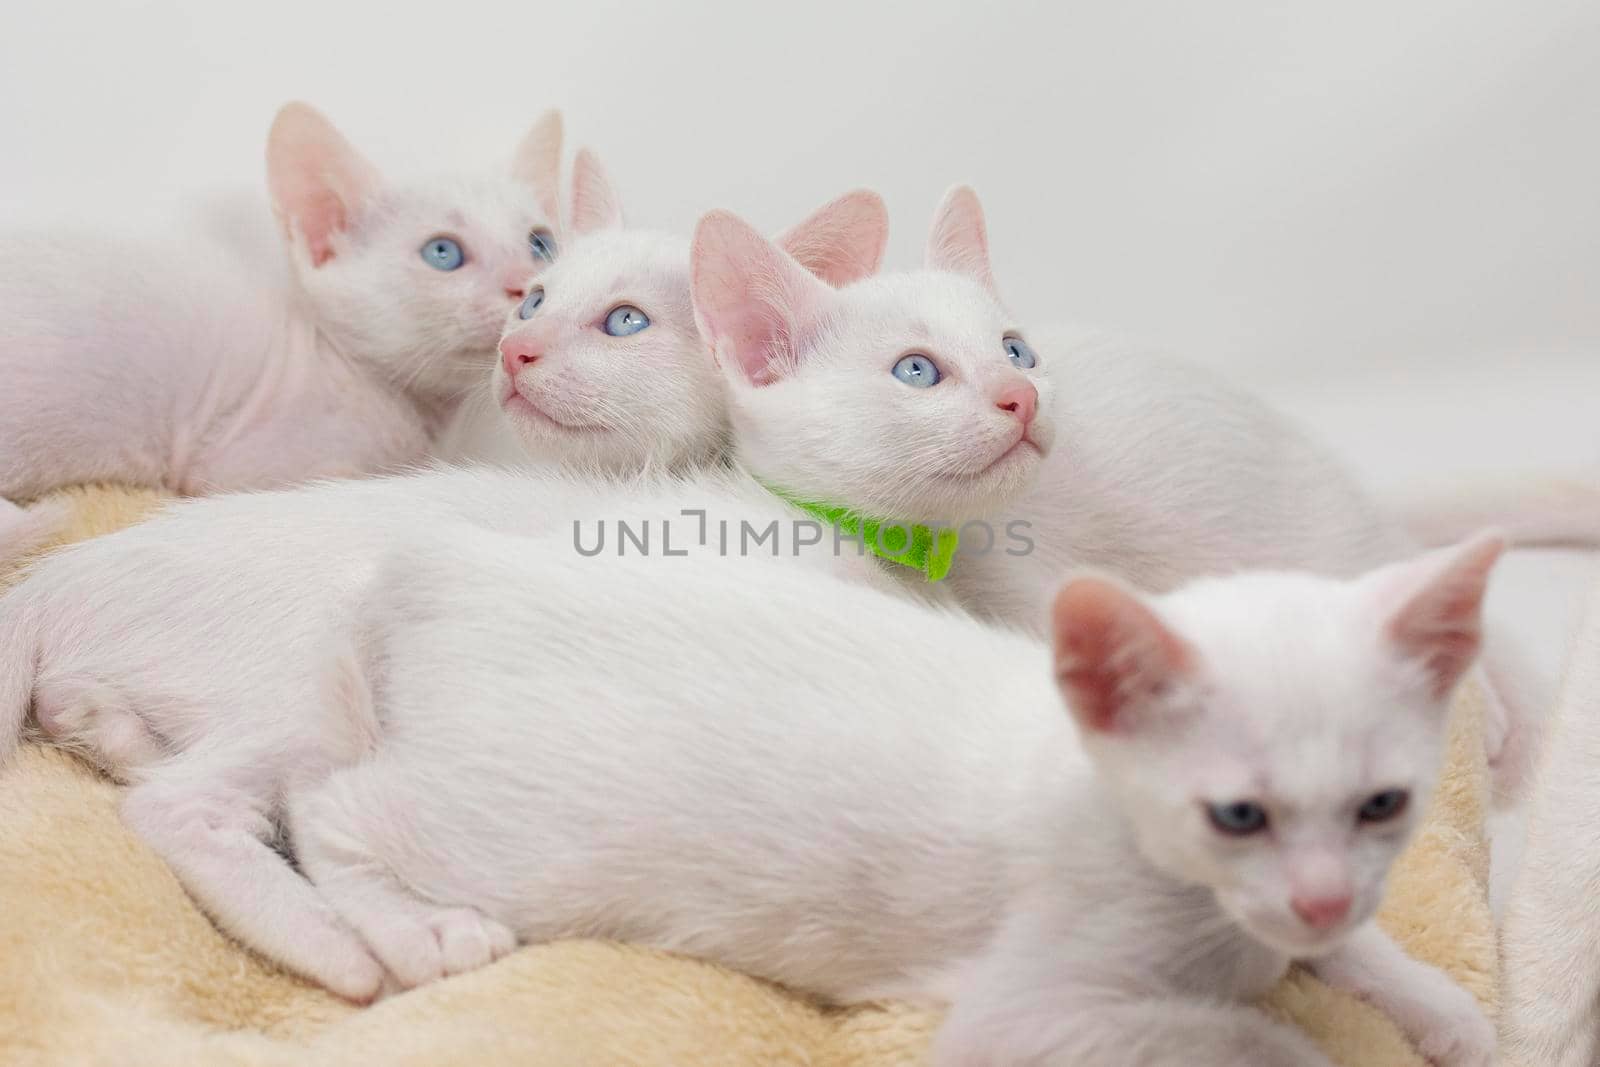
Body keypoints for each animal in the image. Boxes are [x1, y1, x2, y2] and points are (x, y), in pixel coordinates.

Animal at [284, 527, 1497, 1067]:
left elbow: (1360, 952)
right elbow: (1240, 1037)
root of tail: (457, 563)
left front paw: (1446, 1009)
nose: (1319, 898)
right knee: (325, 804)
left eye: (1384, 804)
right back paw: (419, 927)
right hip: (517, 838)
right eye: (1236, 814)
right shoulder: (1023, 1011)